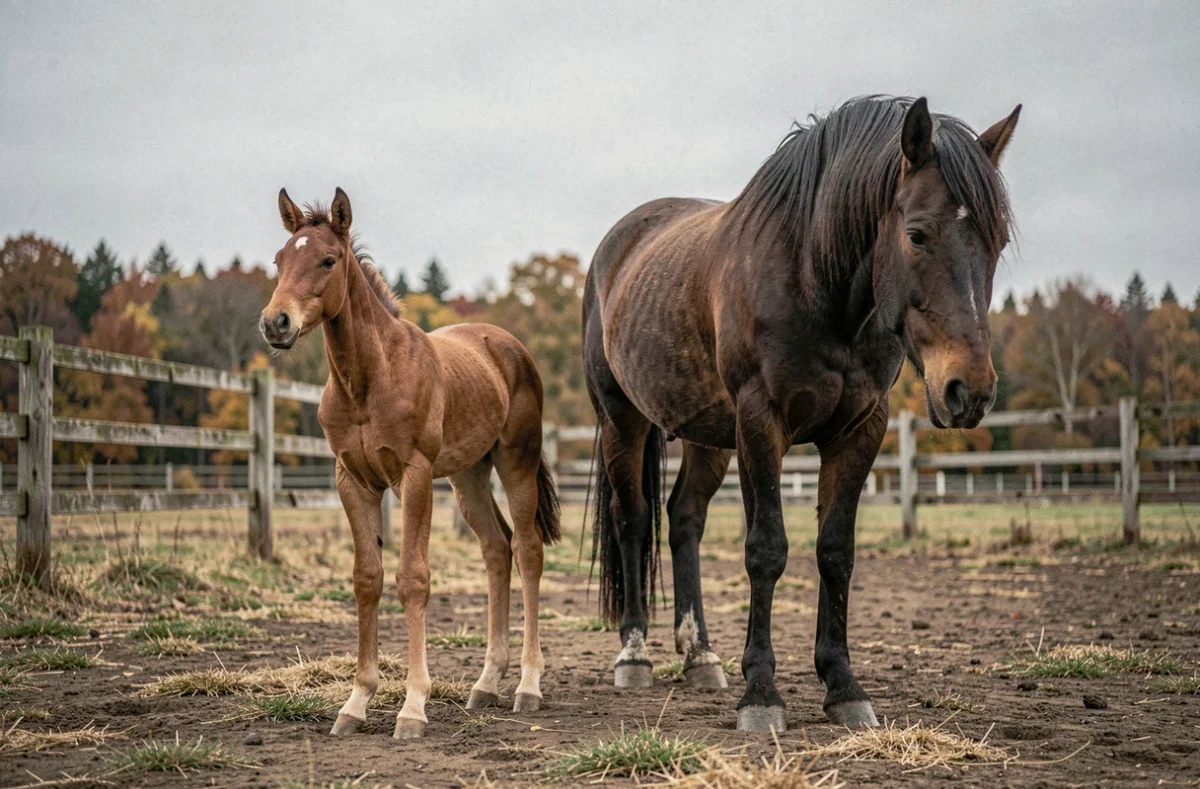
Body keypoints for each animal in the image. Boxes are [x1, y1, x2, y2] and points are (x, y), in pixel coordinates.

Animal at [260, 187, 560, 738]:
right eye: (279, 260)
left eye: (328, 260)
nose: (276, 323)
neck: (369, 380)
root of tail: (510, 346)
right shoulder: (353, 480)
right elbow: (368, 579)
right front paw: (355, 704)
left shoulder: (413, 476)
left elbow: (412, 579)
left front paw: (413, 707)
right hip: (468, 475)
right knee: (496, 549)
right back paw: (486, 683)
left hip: (516, 461)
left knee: (527, 550)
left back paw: (528, 686)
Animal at [584, 95, 1020, 731]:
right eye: (916, 234)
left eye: (997, 241)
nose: (970, 391)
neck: (815, 278)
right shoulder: (761, 423)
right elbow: (766, 550)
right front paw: (761, 694)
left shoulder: (860, 430)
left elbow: (835, 553)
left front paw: (843, 686)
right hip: (623, 420)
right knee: (633, 519)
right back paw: (634, 656)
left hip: (707, 435)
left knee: (684, 518)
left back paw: (700, 656)